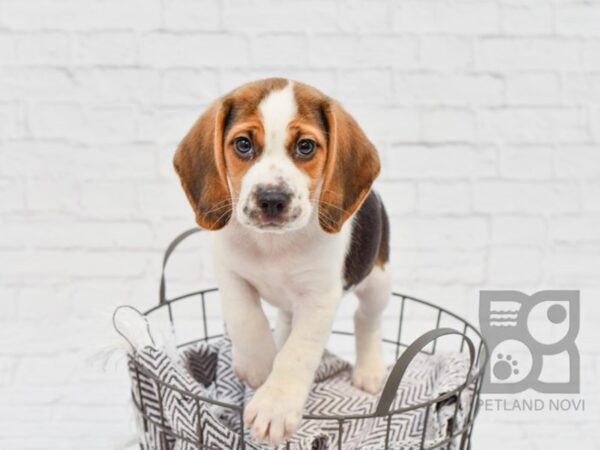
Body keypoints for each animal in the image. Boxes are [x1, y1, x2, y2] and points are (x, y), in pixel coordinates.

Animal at [175, 79, 390, 444]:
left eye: (305, 146)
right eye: (243, 144)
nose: (272, 199)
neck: (273, 245)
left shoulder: (319, 298)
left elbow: (296, 353)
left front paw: (275, 405)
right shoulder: (229, 272)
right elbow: (245, 317)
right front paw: (259, 364)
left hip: (377, 281)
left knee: (367, 319)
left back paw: (370, 369)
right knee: (286, 323)